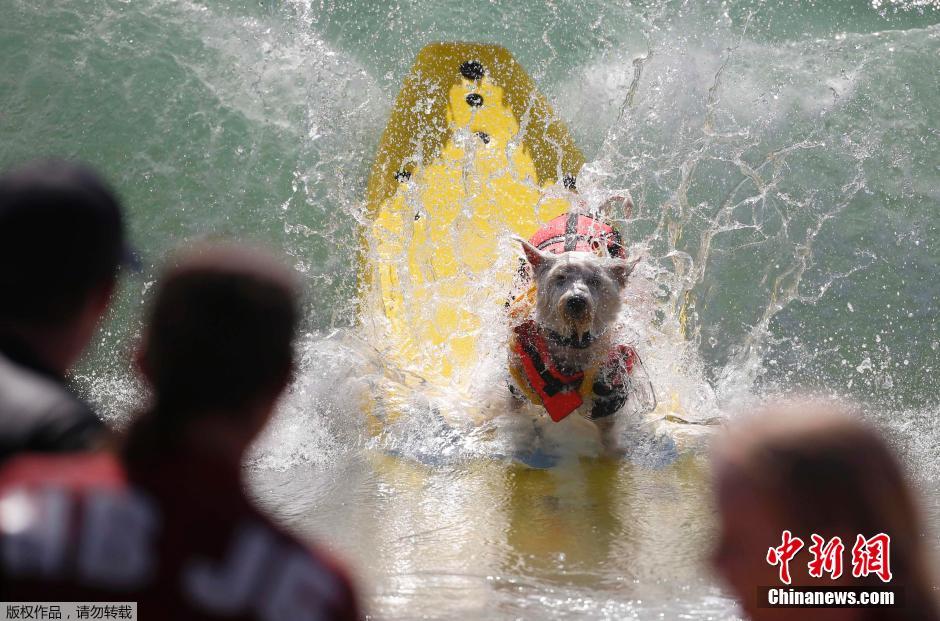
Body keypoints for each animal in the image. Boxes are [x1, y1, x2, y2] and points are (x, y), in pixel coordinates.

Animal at [506, 206, 648, 452]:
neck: (572, 344)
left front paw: (612, 450)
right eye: (559, 277)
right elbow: (518, 411)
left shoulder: (611, 384)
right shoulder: (518, 375)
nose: (576, 300)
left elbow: (607, 423)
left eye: (595, 280)